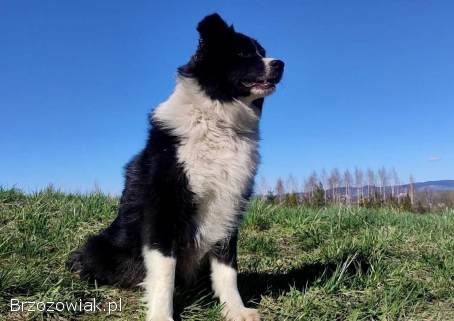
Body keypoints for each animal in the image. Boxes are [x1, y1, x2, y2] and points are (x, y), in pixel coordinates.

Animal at [68, 13, 284, 320]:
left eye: (263, 52)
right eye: (243, 53)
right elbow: (164, 271)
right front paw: (161, 314)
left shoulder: (229, 203)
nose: (280, 64)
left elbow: (228, 267)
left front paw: (235, 310)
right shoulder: (163, 208)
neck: (216, 121)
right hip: (98, 246)